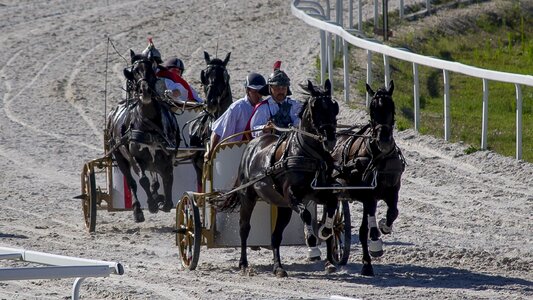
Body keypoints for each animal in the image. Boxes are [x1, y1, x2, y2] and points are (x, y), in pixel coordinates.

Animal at [106, 49, 179, 223]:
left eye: (152, 68)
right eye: (133, 72)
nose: (145, 90)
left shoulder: (166, 155)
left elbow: (167, 177)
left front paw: (165, 202)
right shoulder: (135, 157)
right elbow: (142, 180)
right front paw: (151, 205)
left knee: (155, 179)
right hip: (119, 156)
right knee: (132, 181)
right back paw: (138, 210)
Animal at [221, 79, 338, 276]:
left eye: (334, 107)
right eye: (315, 108)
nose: (330, 139)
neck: (311, 156)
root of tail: (252, 145)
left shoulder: (322, 193)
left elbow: (332, 207)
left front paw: (325, 231)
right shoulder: (292, 195)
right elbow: (306, 214)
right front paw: (312, 244)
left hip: (283, 206)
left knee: (276, 236)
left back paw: (278, 267)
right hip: (248, 197)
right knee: (244, 228)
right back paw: (243, 263)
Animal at [330, 80, 406, 276]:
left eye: (391, 106)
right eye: (372, 109)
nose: (384, 139)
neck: (378, 157)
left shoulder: (393, 190)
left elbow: (393, 212)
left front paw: (384, 225)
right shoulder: (368, 195)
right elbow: (368, 229)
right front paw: (374, 248)